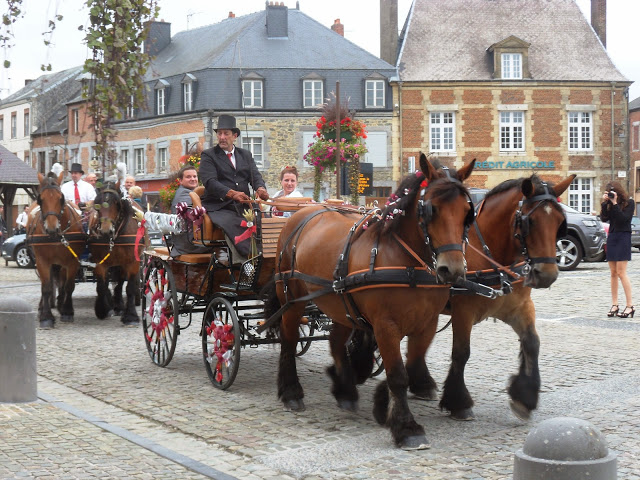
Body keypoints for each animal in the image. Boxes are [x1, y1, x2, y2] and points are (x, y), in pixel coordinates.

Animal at [27, 171, 86, 328]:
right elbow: (46, 287)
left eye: (61, 198)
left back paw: (60, 304)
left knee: (61, 282)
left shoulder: (72, 261)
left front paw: (67, 311)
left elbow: (69, 285)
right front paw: (46, 317)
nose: (51, 228)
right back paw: (43, 307)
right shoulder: (42, 261)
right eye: (40, 199)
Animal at [88, 181, 144, 326]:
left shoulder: (133, 262)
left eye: (116, 203)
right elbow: (102, 286)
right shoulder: (100, 262)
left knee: (121, 281)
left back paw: (119, 306)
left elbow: (129, 287)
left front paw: (131, 316)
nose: (105, 231)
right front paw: (102, 309)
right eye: (97, 203)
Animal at [266, 155, 476, 450]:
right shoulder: (385, 325)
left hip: (338, 302)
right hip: (292, 299)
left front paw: (383, 401)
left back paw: (345, 391)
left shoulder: (427, 322)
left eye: (467, 211)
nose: (452, 269)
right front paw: (406, 428)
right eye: (430, 209)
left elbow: (410, 364)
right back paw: (291, 392)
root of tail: (303, 211)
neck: (407, 262)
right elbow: (398, 374)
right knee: (288, 340)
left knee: (336, 341)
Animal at [436, 172, 576, 420]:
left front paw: (525, 396)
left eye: (560, 222)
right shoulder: (463, 312)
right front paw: (458, 402)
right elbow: (461, 353)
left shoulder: (519, 307)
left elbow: (532, 342)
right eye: (530, 222)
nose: (547, 275)